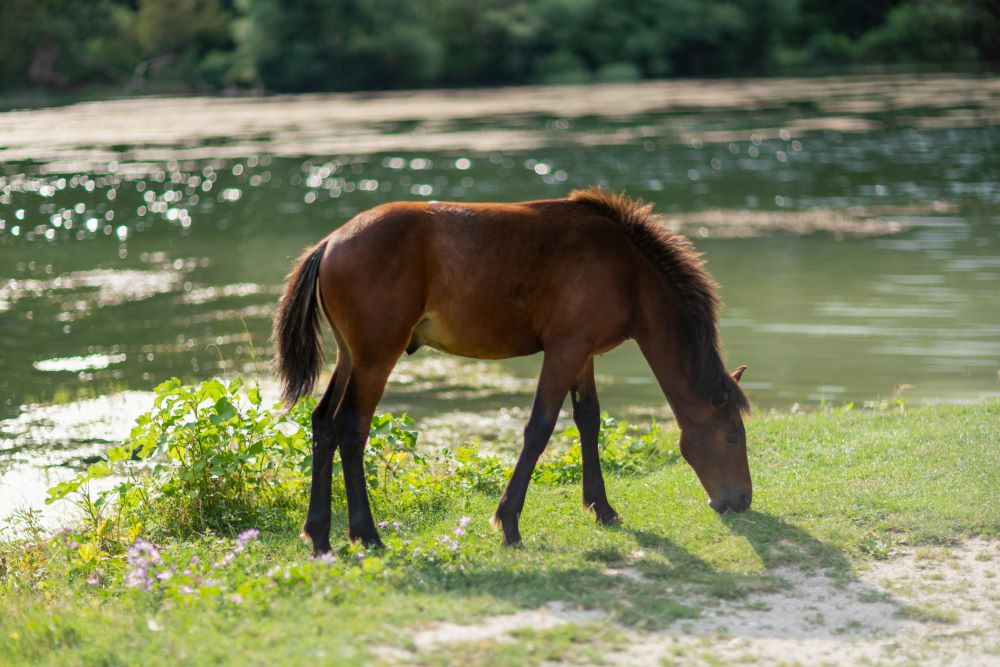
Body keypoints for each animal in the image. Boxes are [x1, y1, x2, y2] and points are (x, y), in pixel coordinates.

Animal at [274, 187, 752, 552]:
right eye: (732, 436)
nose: (743, 500)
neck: (628, 270)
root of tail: (331, 242)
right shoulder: (564, 349)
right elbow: (539, 428)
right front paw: (508, 522)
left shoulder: (584, 354)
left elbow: (589, 421)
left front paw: (601, 507)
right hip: (376, 358)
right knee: (352, 428)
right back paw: (366, 534)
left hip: (350, 356)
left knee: (324, 423)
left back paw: (319, 535)